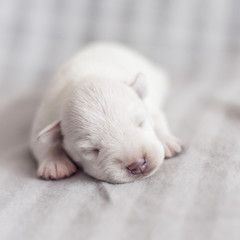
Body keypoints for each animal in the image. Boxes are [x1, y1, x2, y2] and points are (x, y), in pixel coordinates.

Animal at [31, 42, 183, 184]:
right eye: (92, 150)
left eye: (141, 123)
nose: (138, 164)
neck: (85, 78)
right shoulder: (46, 114)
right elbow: (40, 141)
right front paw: (55, 164)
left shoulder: (148, 102)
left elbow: (157, 117)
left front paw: (167, 141)